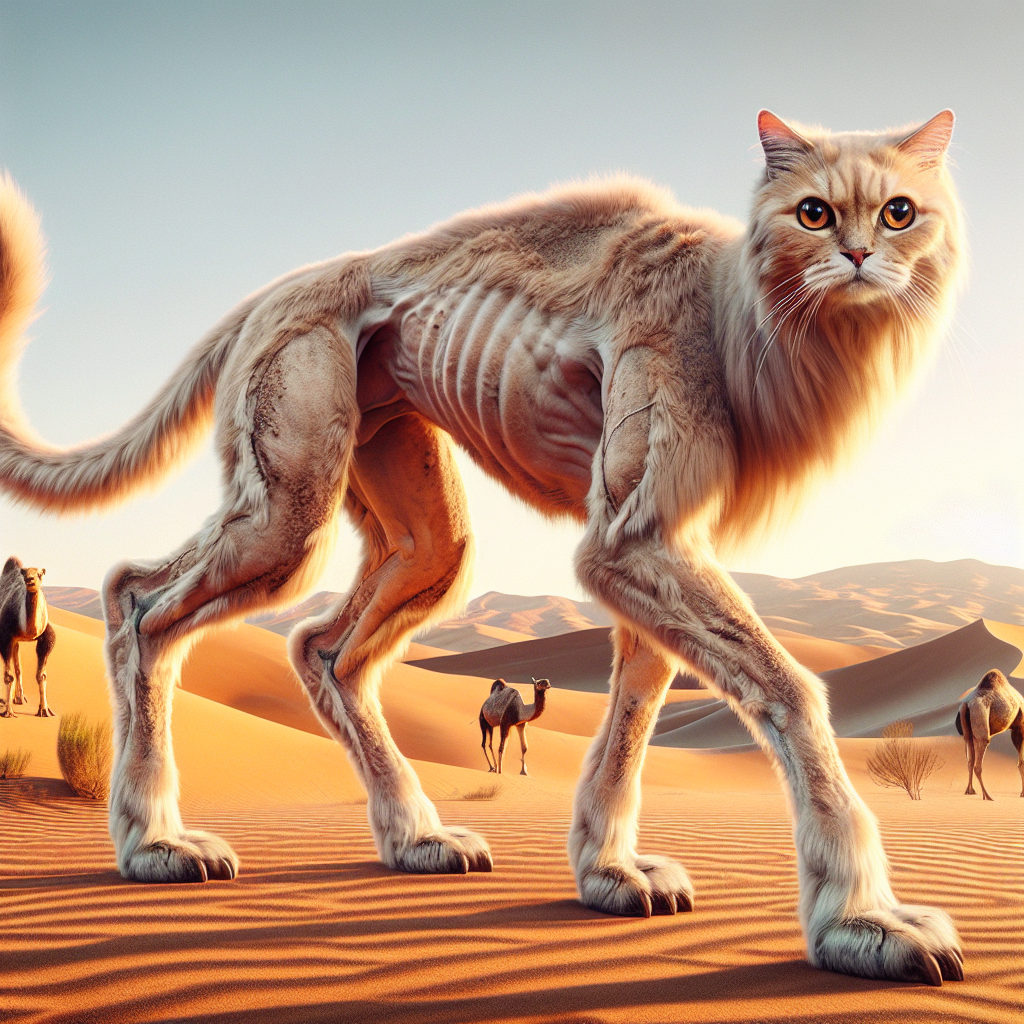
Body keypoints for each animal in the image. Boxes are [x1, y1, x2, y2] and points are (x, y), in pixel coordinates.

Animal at [0, 556, 57, 718]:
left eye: (40, 574)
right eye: (25, 573)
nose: (30, 580)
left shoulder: (46, 637)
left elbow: (41, 675)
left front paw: (44, 710)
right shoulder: (5, 637)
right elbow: (8, 675)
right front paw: (8, 712)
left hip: (16, 641)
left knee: (18, 666)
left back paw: (19, 698)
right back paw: (6, 701)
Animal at [956, 669, 1024, 800]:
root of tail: (966, 704)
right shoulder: (1019, 727)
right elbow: (1021, 762)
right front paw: (1023, 794)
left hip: (967, 728)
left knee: (970, 759)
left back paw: (970, 790)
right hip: (980, 716)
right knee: (978, 764)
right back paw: (988, 796)